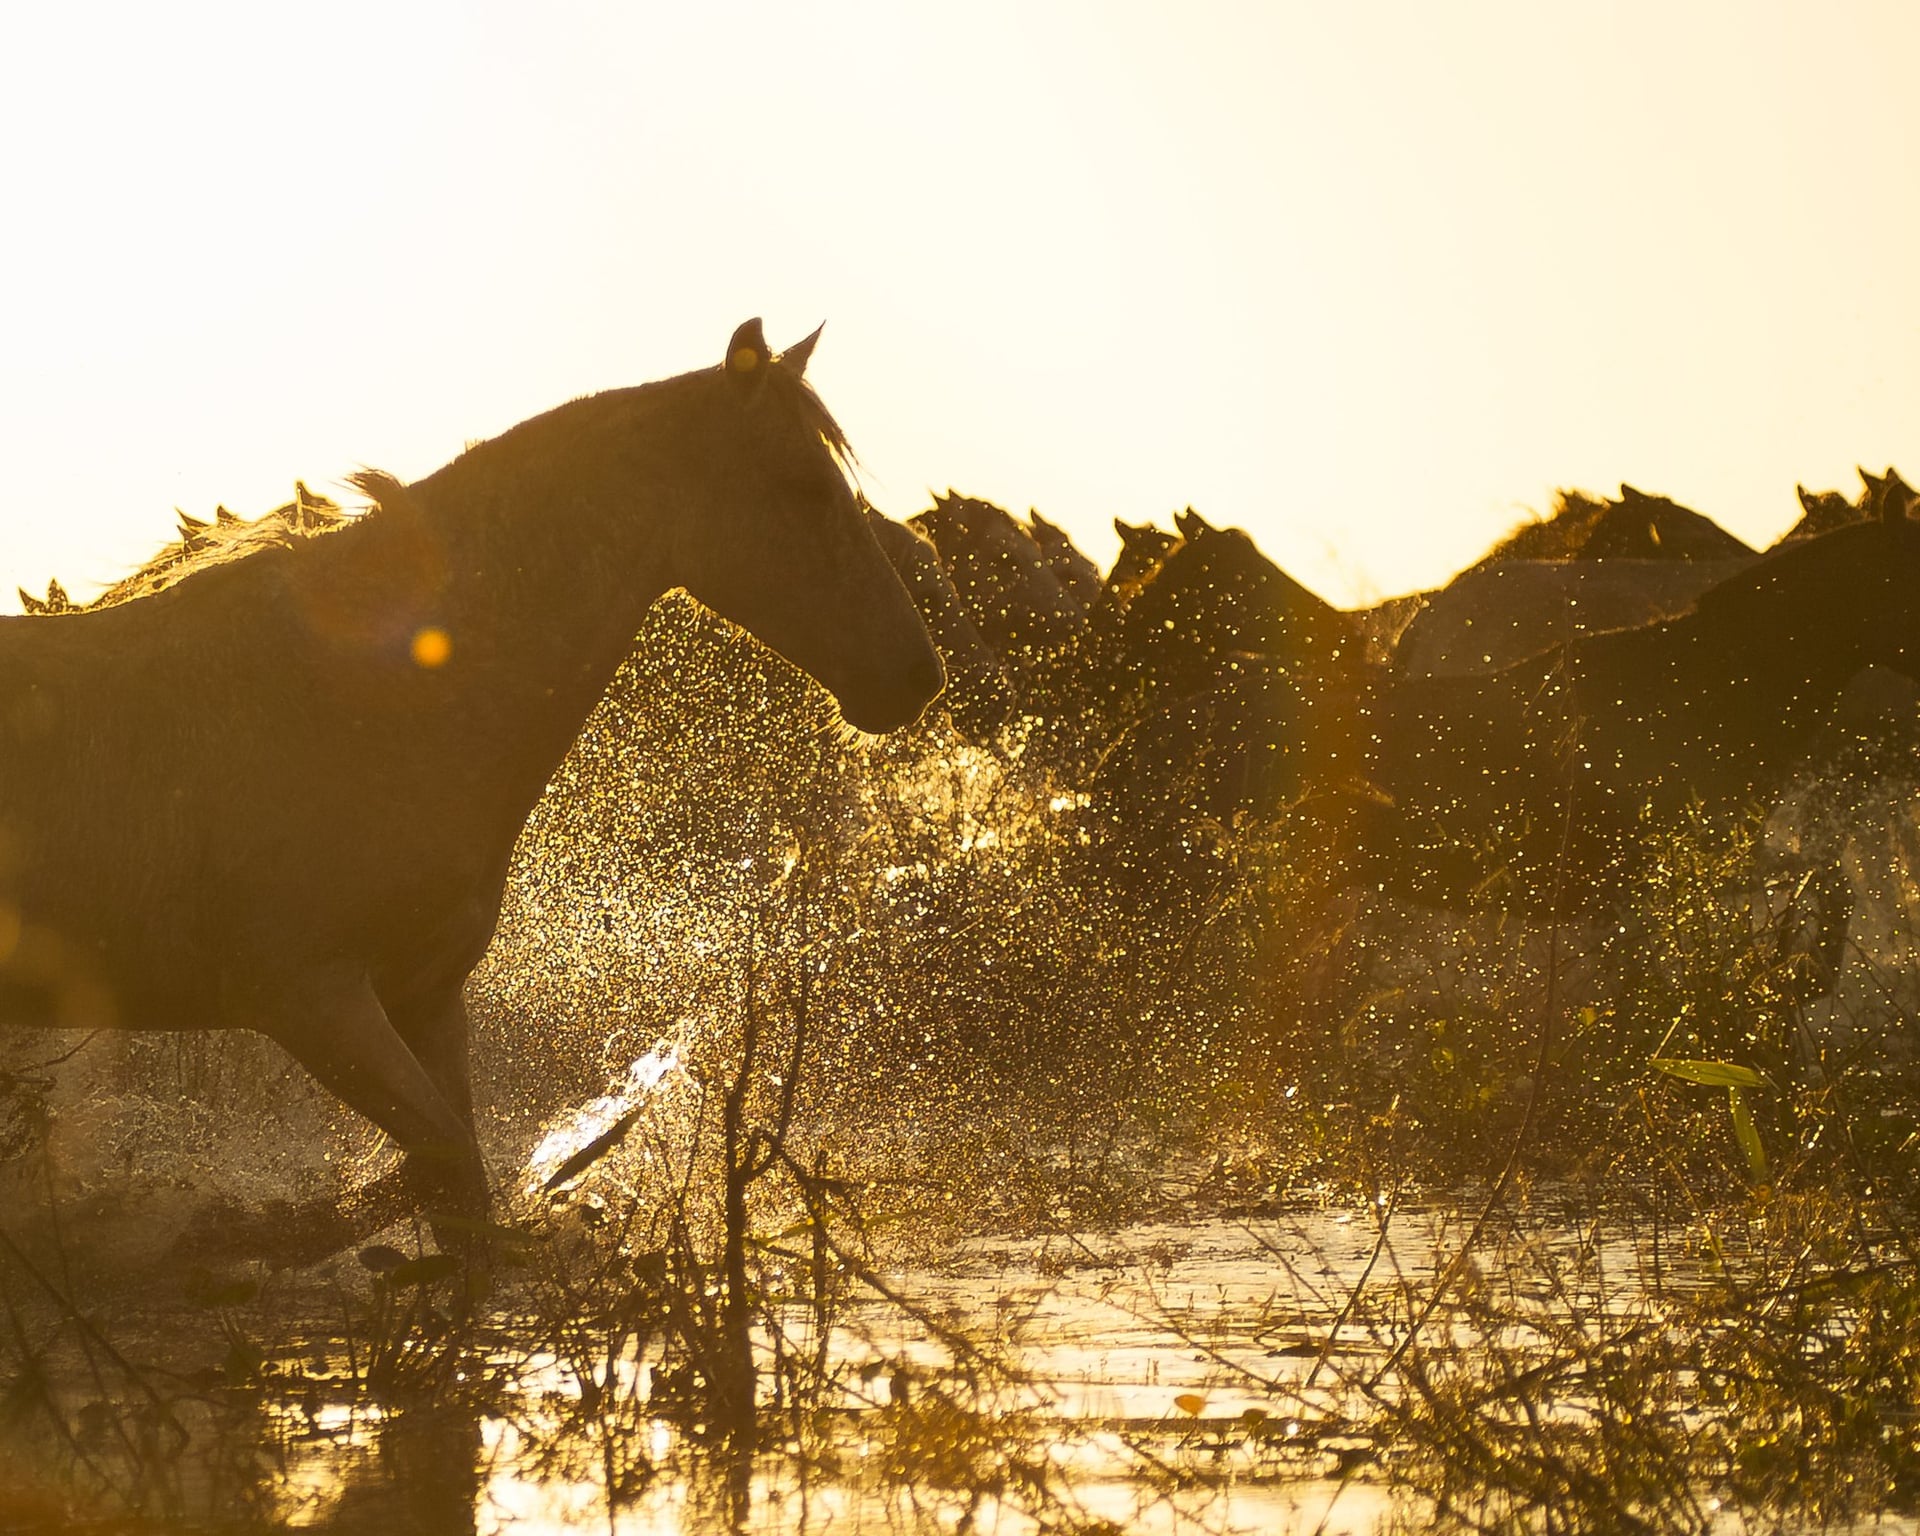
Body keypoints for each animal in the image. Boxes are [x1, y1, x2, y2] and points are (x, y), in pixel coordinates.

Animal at [0, 318, 942, 1239]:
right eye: (802, 487)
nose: (917, 676)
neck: (361, 698)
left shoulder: (424, 1000)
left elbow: (461, 1192)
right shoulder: (308, 999)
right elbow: (437, 1161)